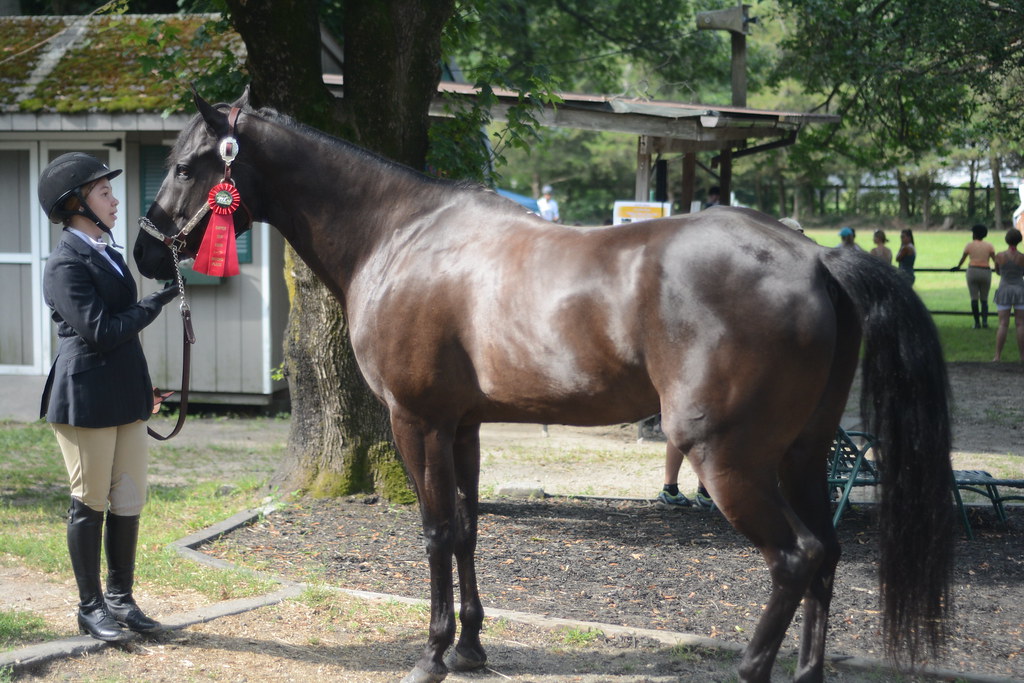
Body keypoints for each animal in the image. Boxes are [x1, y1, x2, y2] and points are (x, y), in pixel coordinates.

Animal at [134, 90, 956, 683]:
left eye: (189, 164)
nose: (145, 251)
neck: (400, 236)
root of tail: (815, 259)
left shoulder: (416, 422)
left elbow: (435, 531)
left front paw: (432, 654)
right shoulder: (463, 425)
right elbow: (468, 528)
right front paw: (471, 648)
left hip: (727, 457)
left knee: (795, 558)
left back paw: (752, 667)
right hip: (801, 453)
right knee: (827, 551)